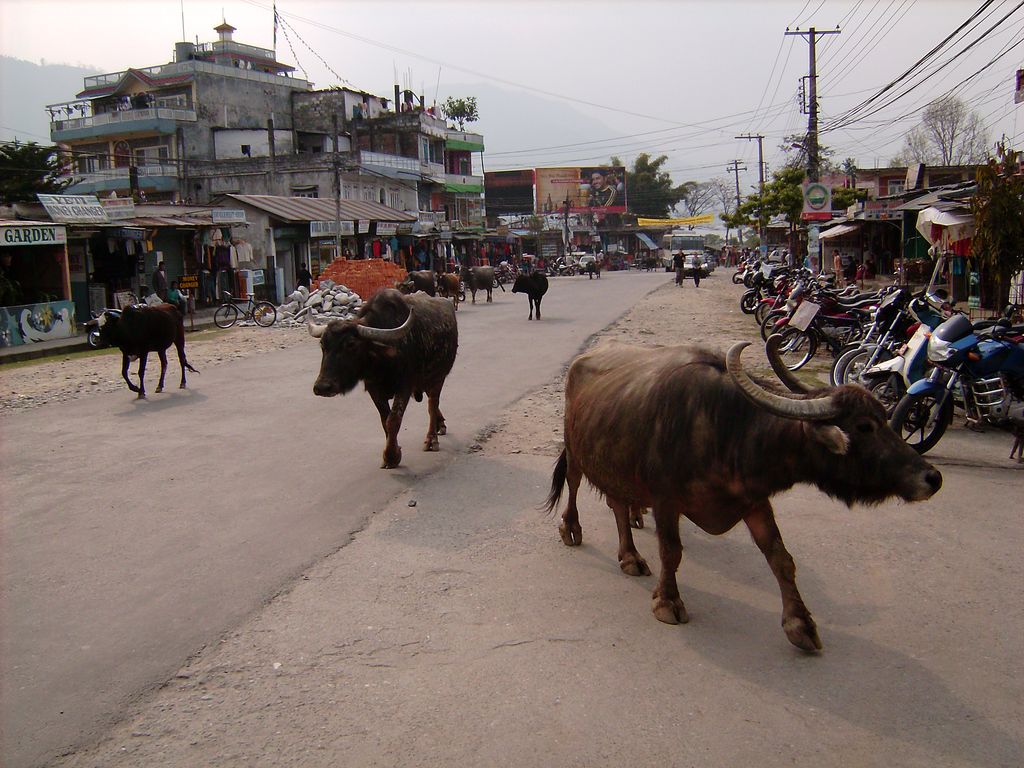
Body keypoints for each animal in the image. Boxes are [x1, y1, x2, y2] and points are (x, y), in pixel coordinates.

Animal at [309, 288, 458, 468]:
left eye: (351, 344)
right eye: (323, 345)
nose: (323, 387)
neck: (382, 361)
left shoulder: (404, 386)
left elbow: (393, 420)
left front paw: (391, 456)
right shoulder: (374, 388)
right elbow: (384, 420)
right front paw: (393, 451)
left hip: (438, 377)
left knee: (432, 404)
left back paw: (431, 440)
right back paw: (439, 424)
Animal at [544, 339, 942, 651]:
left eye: (883, 417)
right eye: (863, 426)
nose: (931, 477)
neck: (726, 430)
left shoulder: (754, 500)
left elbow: (781, 558)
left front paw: (800, 624)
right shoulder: (666, 500)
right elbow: (671, 552)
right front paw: (668, 601)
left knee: (617, 504)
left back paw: (629, 555)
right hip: (576, 450)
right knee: (576, 485)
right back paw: (572, 529)